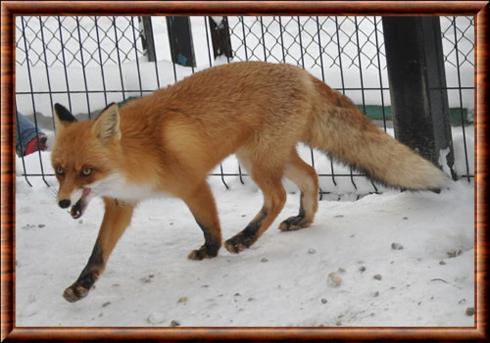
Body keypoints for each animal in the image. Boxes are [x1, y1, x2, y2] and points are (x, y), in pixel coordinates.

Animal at [49, 61, 448, 304]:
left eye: (87, 171)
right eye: (59, 170)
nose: (63, 203)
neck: (137, 155)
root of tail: (300, 72)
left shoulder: (194, 184)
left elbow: (208, 225)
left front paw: (209, 251)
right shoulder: (121, 204)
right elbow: (98, 252)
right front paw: (81, 286)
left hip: (257, 161)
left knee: (277, 197)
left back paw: (245, 238)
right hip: (271, 156)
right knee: (310, 176)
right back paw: (302, 220)